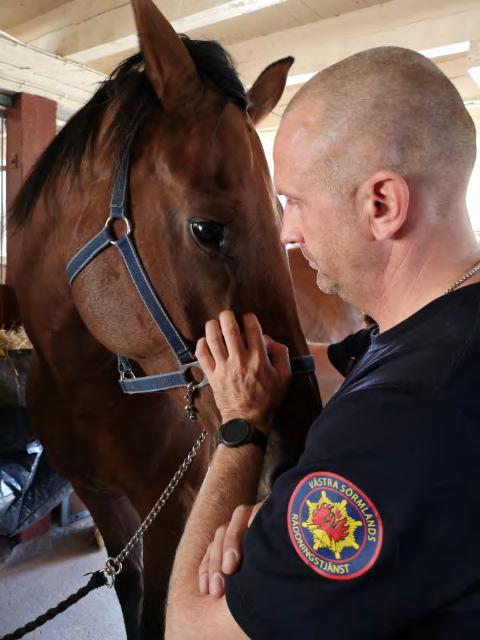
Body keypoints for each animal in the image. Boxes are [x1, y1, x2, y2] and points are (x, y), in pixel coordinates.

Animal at [8, 2, 318, 636]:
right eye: (206, 229)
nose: (295, 457)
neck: (86, 387)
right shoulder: (104, 501)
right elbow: (131, 595)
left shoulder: (173, 507)